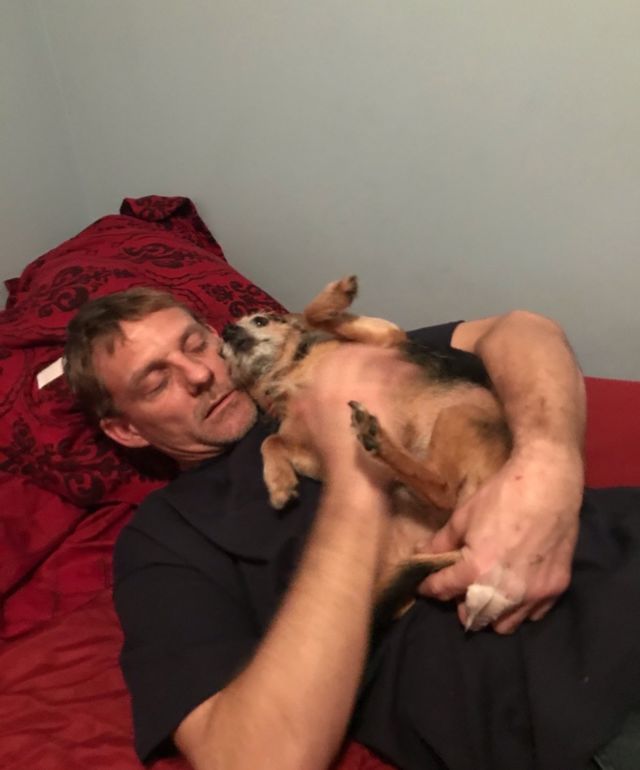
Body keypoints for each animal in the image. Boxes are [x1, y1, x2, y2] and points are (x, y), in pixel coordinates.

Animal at [221, 276, 515, 630]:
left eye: (260, 321)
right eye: (222, 352)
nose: (226, 331)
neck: (289, 370)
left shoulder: (386, 335)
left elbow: (314, 313)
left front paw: (337, 293)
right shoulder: (319, 453)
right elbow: (272, 442)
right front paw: (280, 484)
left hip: (455, 416)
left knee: (442, 489)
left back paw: (378, 439)